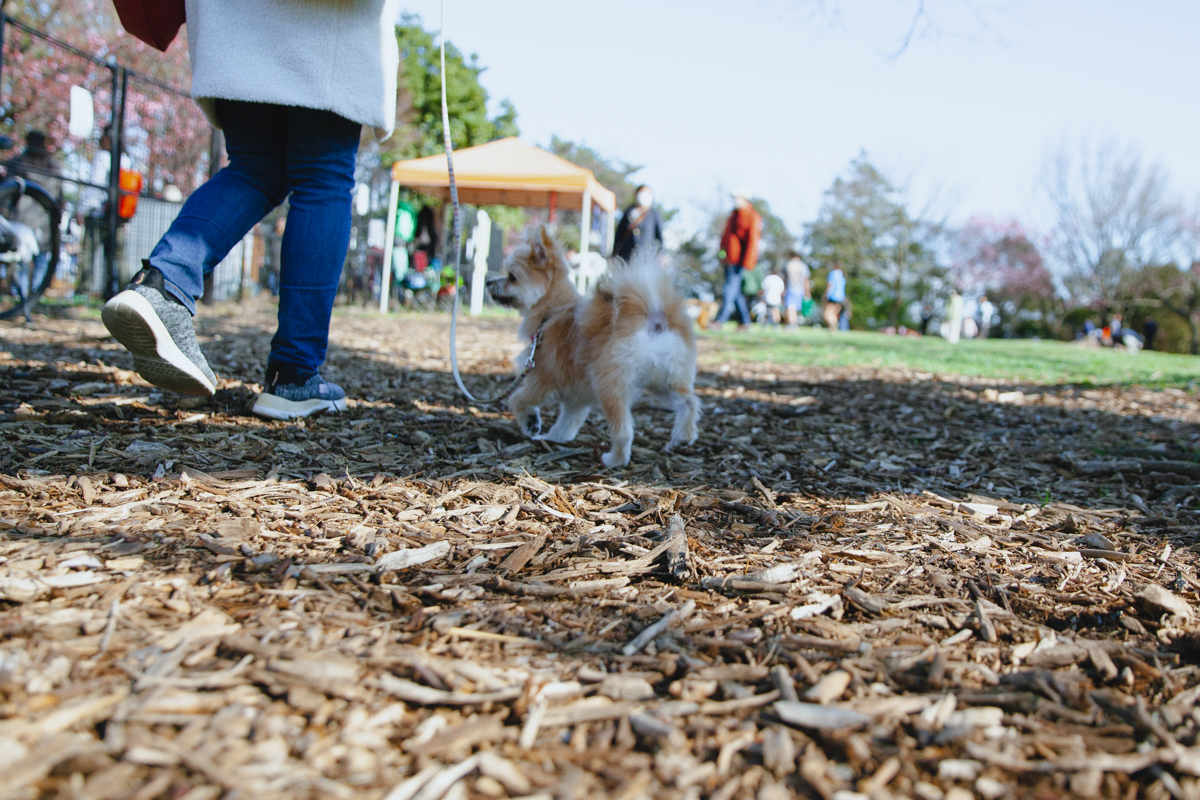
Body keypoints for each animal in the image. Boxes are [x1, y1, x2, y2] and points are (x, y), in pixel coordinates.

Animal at [482, 225, 700, 465]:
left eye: (511, 277)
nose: (488, 282)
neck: (552, 311)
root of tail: (653, 317)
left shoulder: (543, 379)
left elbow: (516, 399)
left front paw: (531, 423)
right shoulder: (576, 398)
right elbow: (567, 423)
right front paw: (553, 438)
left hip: (610, 387)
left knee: (624, 432)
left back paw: (614, 460)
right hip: (666, 381)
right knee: (689, 403)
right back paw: (683, 438)